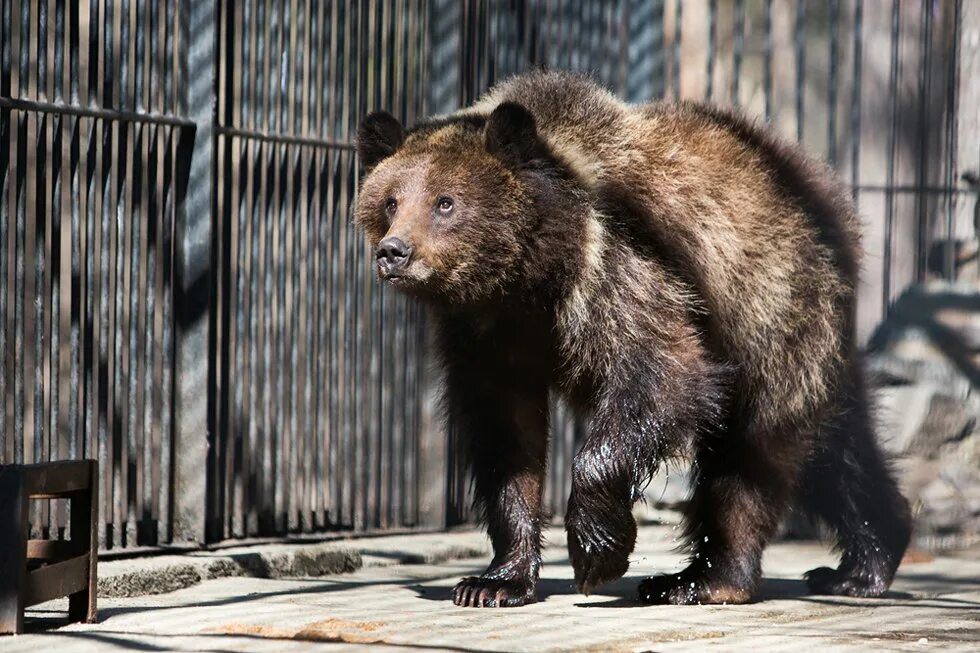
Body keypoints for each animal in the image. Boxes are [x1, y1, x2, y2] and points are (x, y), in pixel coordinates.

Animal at [350, 70, 912, 608]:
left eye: (445, 202)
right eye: (391, 200)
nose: (394, 252)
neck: (528, 278)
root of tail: (827, 192)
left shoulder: (616, 269)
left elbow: (662, 373)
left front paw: (598, 550)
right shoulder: (483, 335)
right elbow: (507, 439)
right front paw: (494, 581)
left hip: (771, 310)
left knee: (751, 453)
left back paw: (701, 579)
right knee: (836, 445)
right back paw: (865, 560)